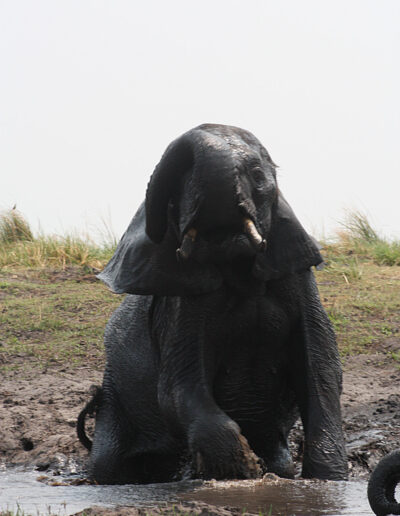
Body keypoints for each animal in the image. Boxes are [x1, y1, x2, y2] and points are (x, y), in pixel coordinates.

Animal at [77, 124, 346, 484]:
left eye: (258, 174)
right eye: (180, 186)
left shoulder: (298, 279)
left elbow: (320, 375)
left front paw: (328, 481)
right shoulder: (180, 305)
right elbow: (178, 388)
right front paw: (243, 469)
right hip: (115, 396)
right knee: (110, 465)